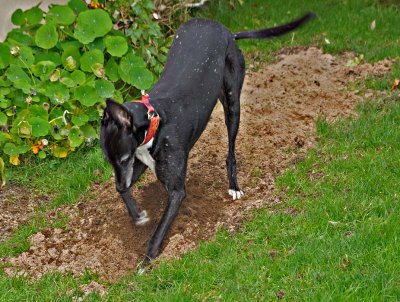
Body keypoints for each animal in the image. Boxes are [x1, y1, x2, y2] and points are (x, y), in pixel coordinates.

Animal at [100, 12, 316, 264]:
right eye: (109, 161)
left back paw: (234, 186)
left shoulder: (175, 191)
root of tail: (228, 33)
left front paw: (147, 260)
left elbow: (160, 230)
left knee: (231, 150)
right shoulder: (141, 161)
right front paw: (138, 215)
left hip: (232, 103)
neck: (154, 119)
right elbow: (124, 191)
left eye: (123, 159)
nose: (119, 181)